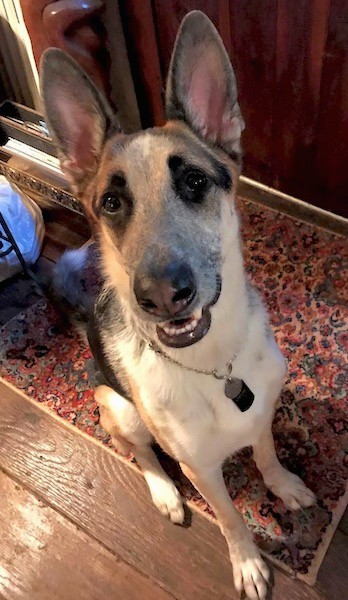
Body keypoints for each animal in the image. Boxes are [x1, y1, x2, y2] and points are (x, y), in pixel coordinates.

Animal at [40, 10, 316, 600]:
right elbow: (231, 517)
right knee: (141, 451)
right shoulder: (201, 471)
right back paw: (164, 493)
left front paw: (281, 484)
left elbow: (266, 453)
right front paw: (248, 560)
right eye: (112, 202)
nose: (162, 295)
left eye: (193, 181)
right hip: (118, 406)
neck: (216, 368)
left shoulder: (262, 413)